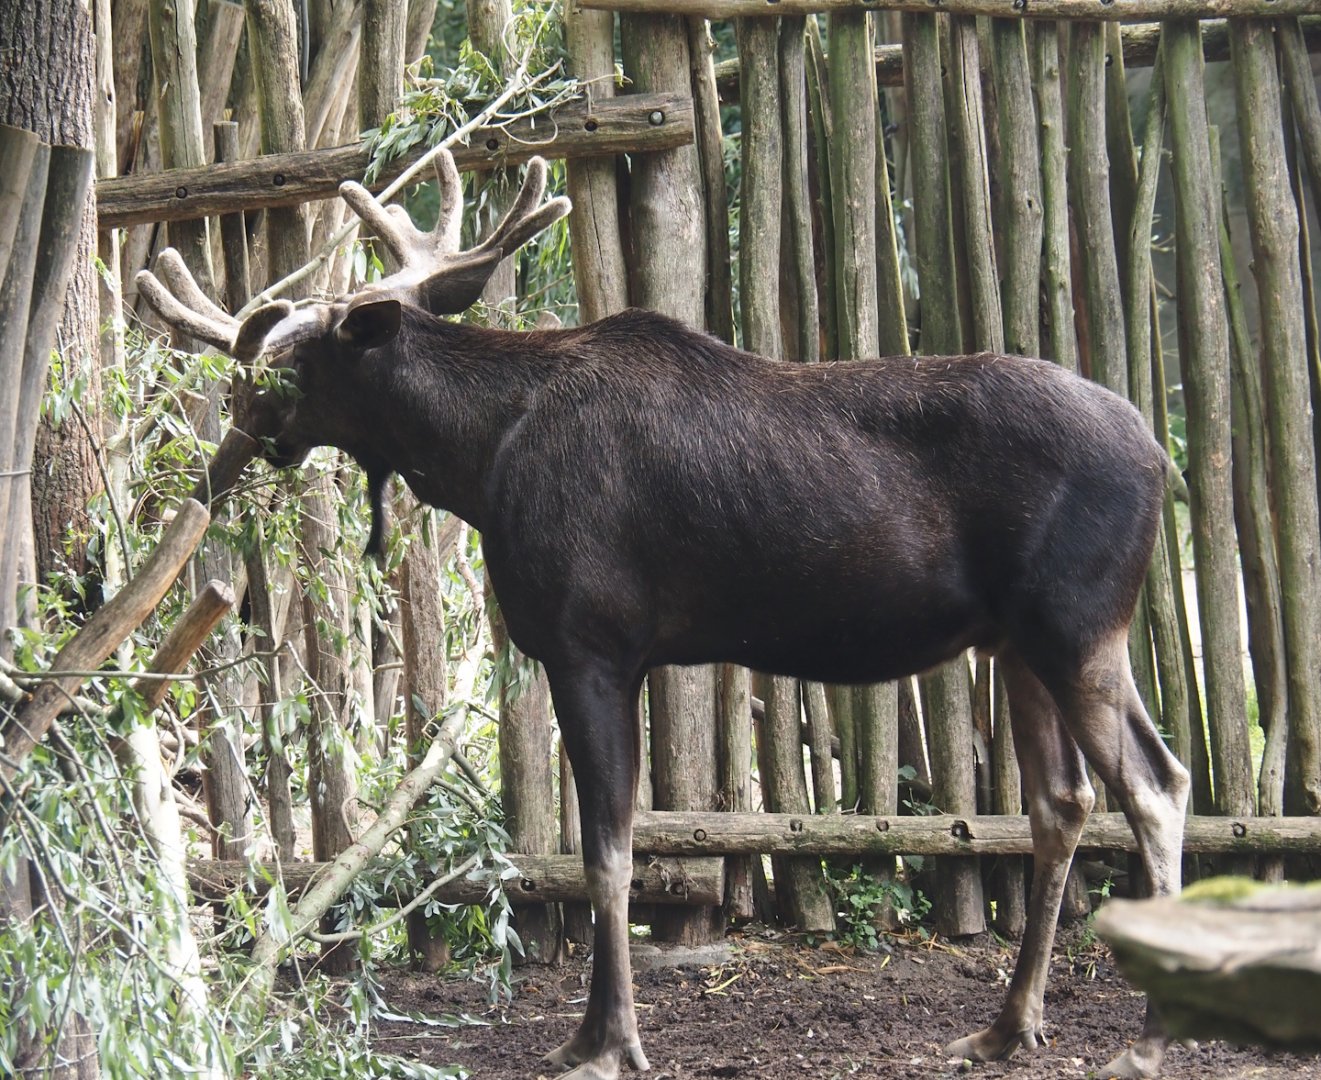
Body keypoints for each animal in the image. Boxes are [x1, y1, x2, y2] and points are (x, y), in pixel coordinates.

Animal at [138, 149, 1189, 1080]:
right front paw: (595, 1033)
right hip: (1020, 644)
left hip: (1077, 625)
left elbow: (606, 852)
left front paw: (605, 1043)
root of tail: (1160, 458)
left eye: (292, 362)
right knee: (1063, 803)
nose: (228, 440)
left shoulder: (589, 644)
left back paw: (1146, 1041)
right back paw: (1008, 1028)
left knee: (1156, 785)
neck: (477, 459)